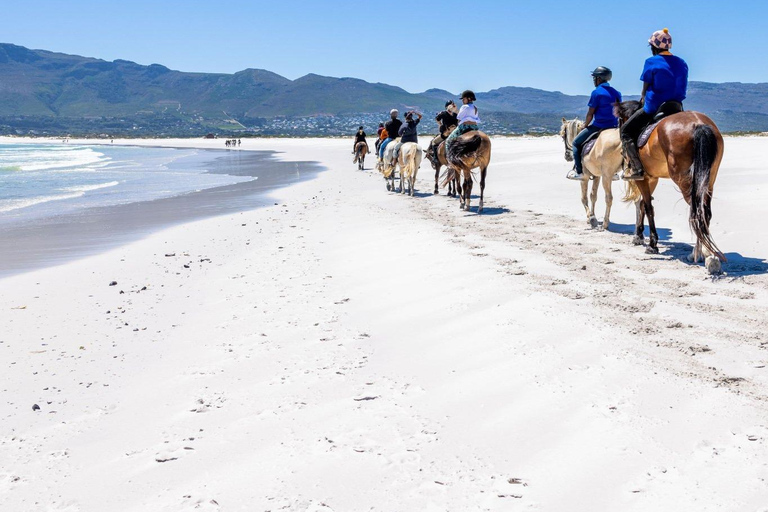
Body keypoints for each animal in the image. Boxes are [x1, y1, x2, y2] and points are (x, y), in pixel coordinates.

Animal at [612, 101, 728, 274]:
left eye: (620, 121)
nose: (621, 152)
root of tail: (698, 124)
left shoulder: (643, 178)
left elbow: (648, 207)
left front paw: (652, 244)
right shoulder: (652, 178)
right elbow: (643, 204)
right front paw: (639, 236)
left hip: (684, 181)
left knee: (697, 213)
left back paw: (703, 256)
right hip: (707, 180)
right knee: (704, 213)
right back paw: (706, 254)